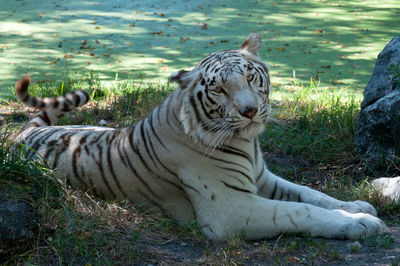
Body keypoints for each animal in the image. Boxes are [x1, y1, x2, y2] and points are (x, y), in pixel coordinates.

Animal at [14, 32, 386, 240]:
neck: (247, 143)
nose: (250, 111)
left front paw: (357, 205)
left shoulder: (262, 179)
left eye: (250, 77)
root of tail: (22, 134)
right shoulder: (230, 208)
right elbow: (301, 211)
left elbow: (312, 195)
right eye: (219, 89)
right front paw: (362, 223)